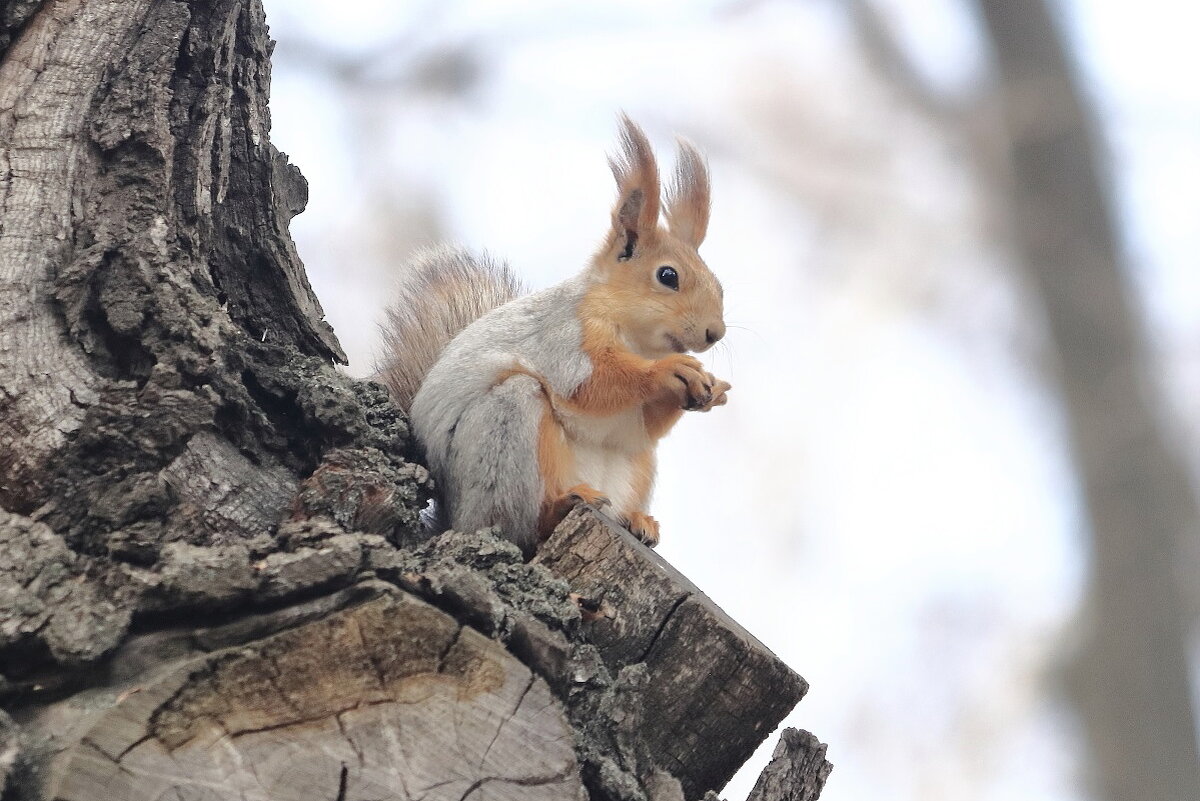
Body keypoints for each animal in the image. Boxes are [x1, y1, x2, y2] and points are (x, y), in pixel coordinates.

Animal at [379, 117, 724, 556]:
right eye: (668, 276)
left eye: (719, 285)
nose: (715, 333)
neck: (639, 341)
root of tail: (456, 520)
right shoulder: (563, 338)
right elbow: (594, 385)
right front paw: (668, 372)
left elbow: (641, 422)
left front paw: (710, 388)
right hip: (506, 429)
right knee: (518, 527)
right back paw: (560, 505)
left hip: (638, 465)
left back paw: (638, 521)